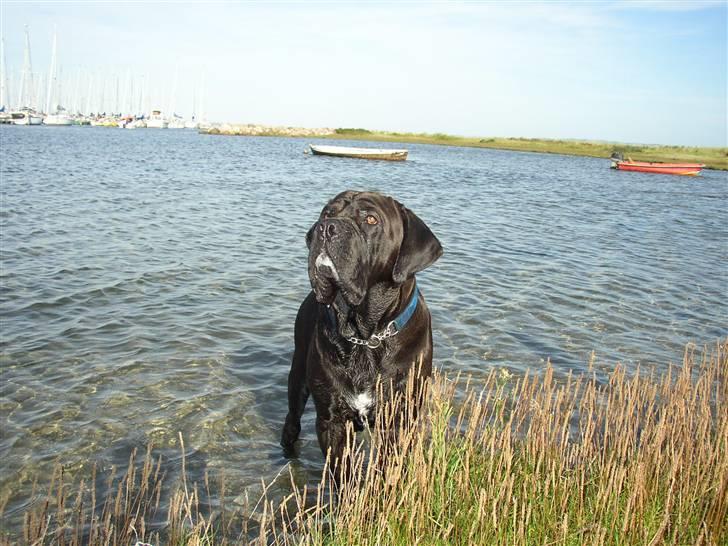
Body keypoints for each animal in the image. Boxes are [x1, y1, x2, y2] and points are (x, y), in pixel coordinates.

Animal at [282, 189, 444, 466]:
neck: (366, 336)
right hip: (298, 379)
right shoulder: (332, 421)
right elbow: (341, 471)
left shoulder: (398, 421)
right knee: (292, 422)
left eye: (370, 219)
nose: (326, 227)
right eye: (327, 212)